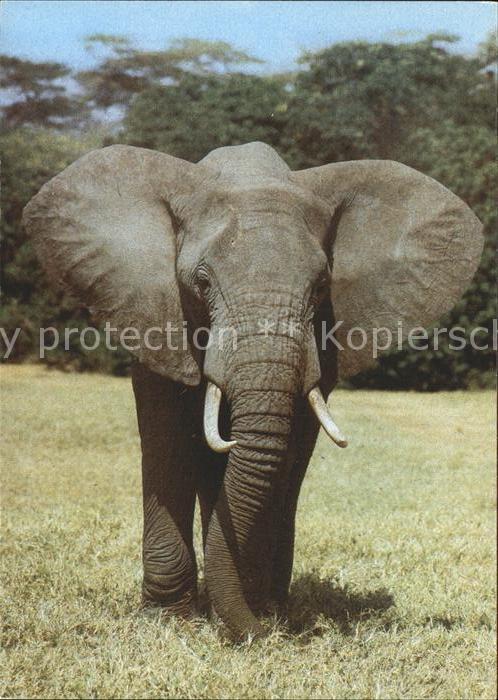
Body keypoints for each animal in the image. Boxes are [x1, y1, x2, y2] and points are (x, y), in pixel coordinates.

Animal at [22, 142, 483, 640]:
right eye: (201, 281)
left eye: (322, 285)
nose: (261, 632)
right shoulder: (153, 313)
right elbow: (167, 439)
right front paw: (170, 621)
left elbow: (289, 445)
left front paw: (257, 608)